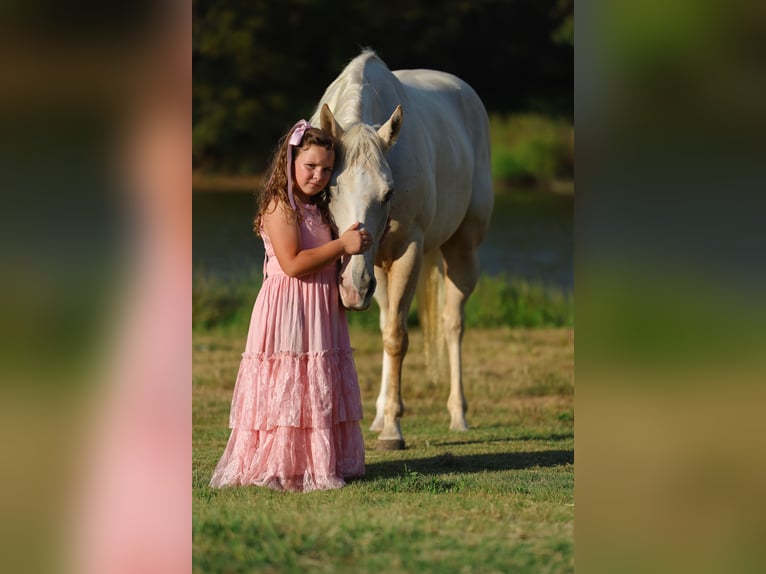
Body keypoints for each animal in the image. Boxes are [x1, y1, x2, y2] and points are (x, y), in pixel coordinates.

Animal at [310, 49, 494, 450]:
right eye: (329, 190)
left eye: (388, 192)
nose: (354, 287)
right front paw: (381, 419)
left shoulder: (408, 253)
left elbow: (397, 337)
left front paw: (394, 431)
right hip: (379, 270)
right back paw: (379, 415)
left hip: (462, 251)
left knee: (452, 324)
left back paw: (457, 415)